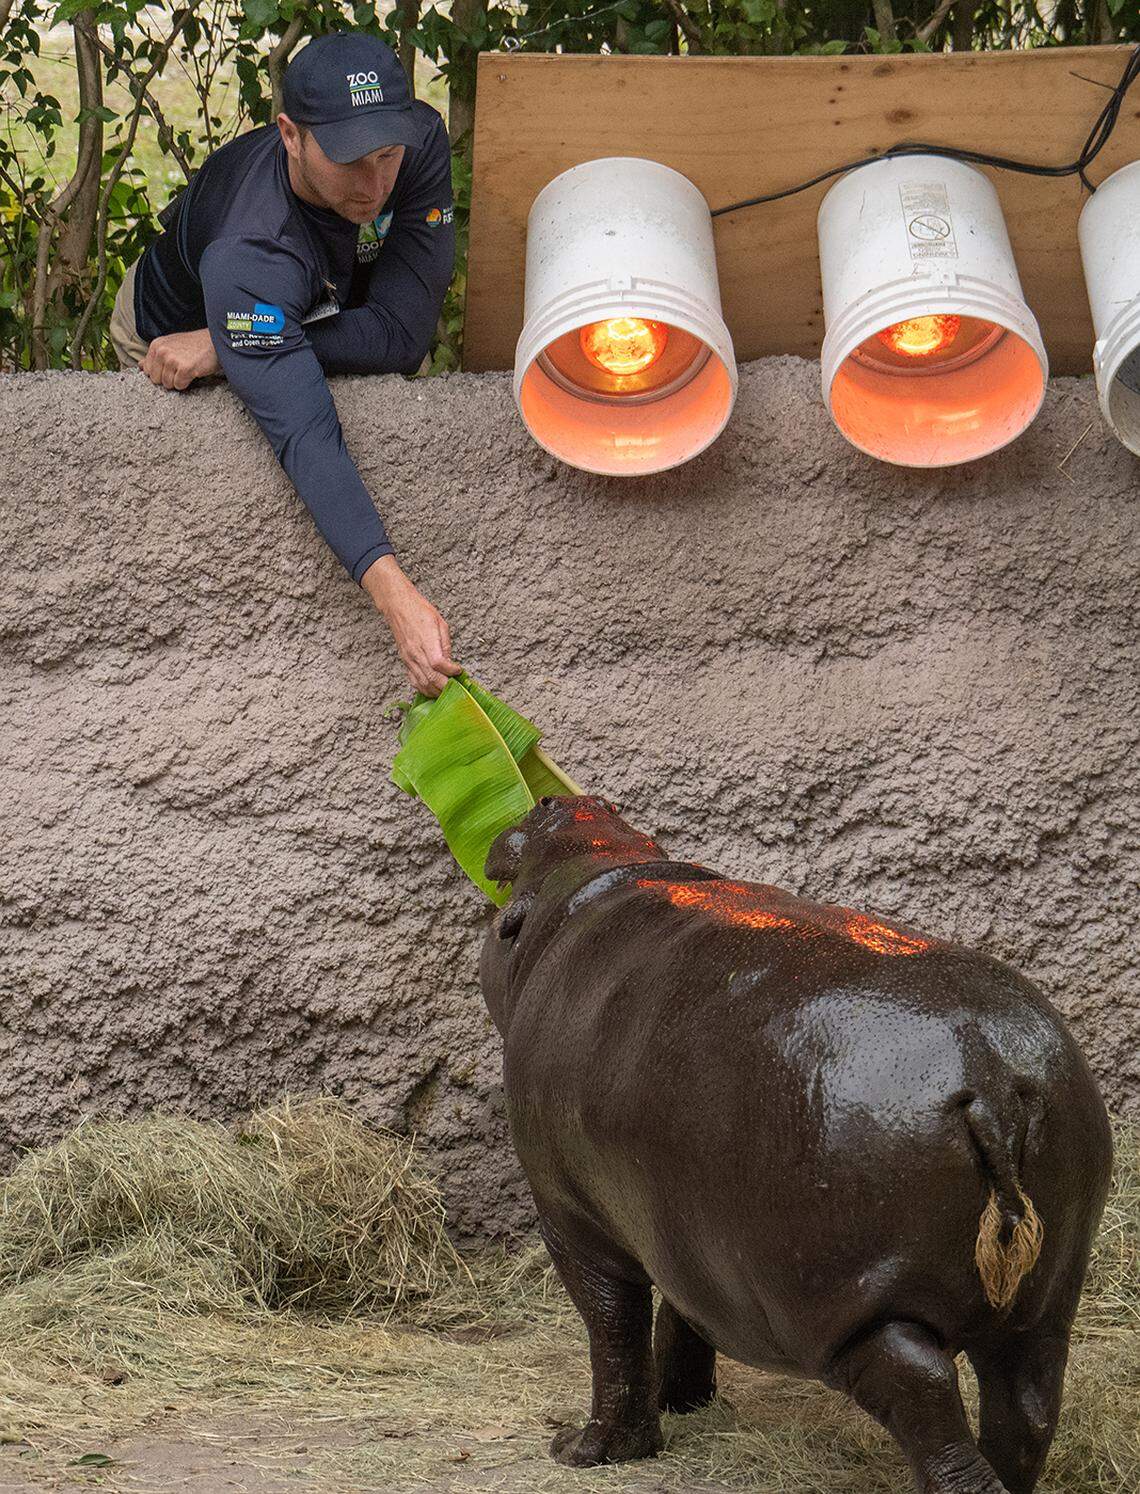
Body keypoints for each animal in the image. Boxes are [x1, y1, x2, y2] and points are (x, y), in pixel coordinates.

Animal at [479, 795, 1113, 1494]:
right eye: (600, 819)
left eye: (505, 915)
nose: (558, 798)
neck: (594, 881)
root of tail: (990, 1075)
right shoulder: (678, 1229)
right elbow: (683, 1314)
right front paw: (686, 1404)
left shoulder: (573, 1217)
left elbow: (613, 1328)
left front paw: (585, 1450)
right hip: (1049, 1289)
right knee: (1028, 1399)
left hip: (856, 1307)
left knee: (925, 1390)